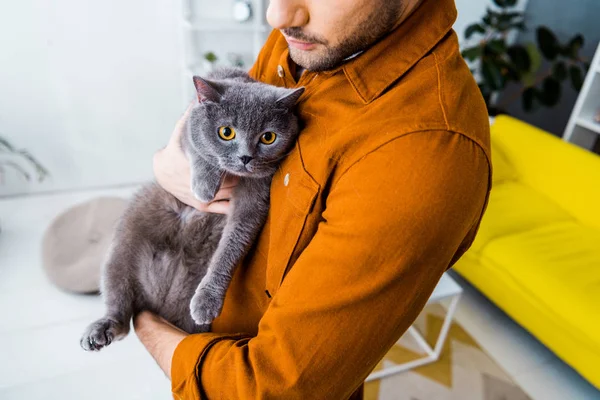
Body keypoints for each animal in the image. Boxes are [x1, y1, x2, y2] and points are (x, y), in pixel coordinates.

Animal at [79, 68, 304, 350]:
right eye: (226, 132)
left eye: (268, 137)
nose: (245, 157)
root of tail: (159, 301)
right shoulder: (186, 126)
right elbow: (197, 148)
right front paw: (206, 186)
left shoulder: (254, 199)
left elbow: (231, 246)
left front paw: (206, 302)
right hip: (126, 235)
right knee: (120, 305)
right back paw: (101, 330)